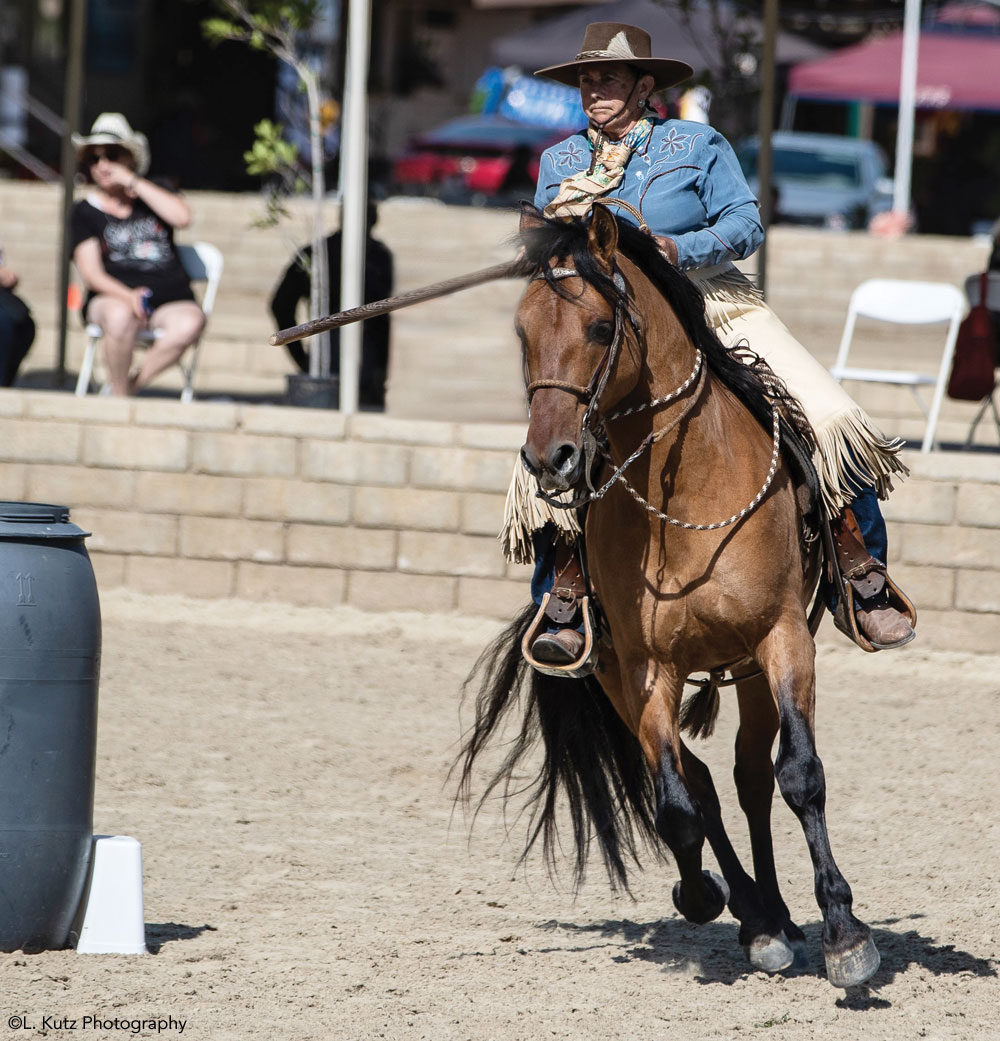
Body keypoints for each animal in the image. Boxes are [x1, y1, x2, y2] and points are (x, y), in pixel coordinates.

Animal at [455, 202, 878, 991]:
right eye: (523, 331)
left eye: (598, 327)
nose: (549, 458)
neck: (683, 496)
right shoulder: (647, 666)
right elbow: (677, 804)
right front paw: (706, 896)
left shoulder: (782, 637)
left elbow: (801, 776)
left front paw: (844, 933)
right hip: (621, 675)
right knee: (702, 780)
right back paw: (759, 917)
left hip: (749, 665)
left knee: (750, 777)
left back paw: (779, 916)